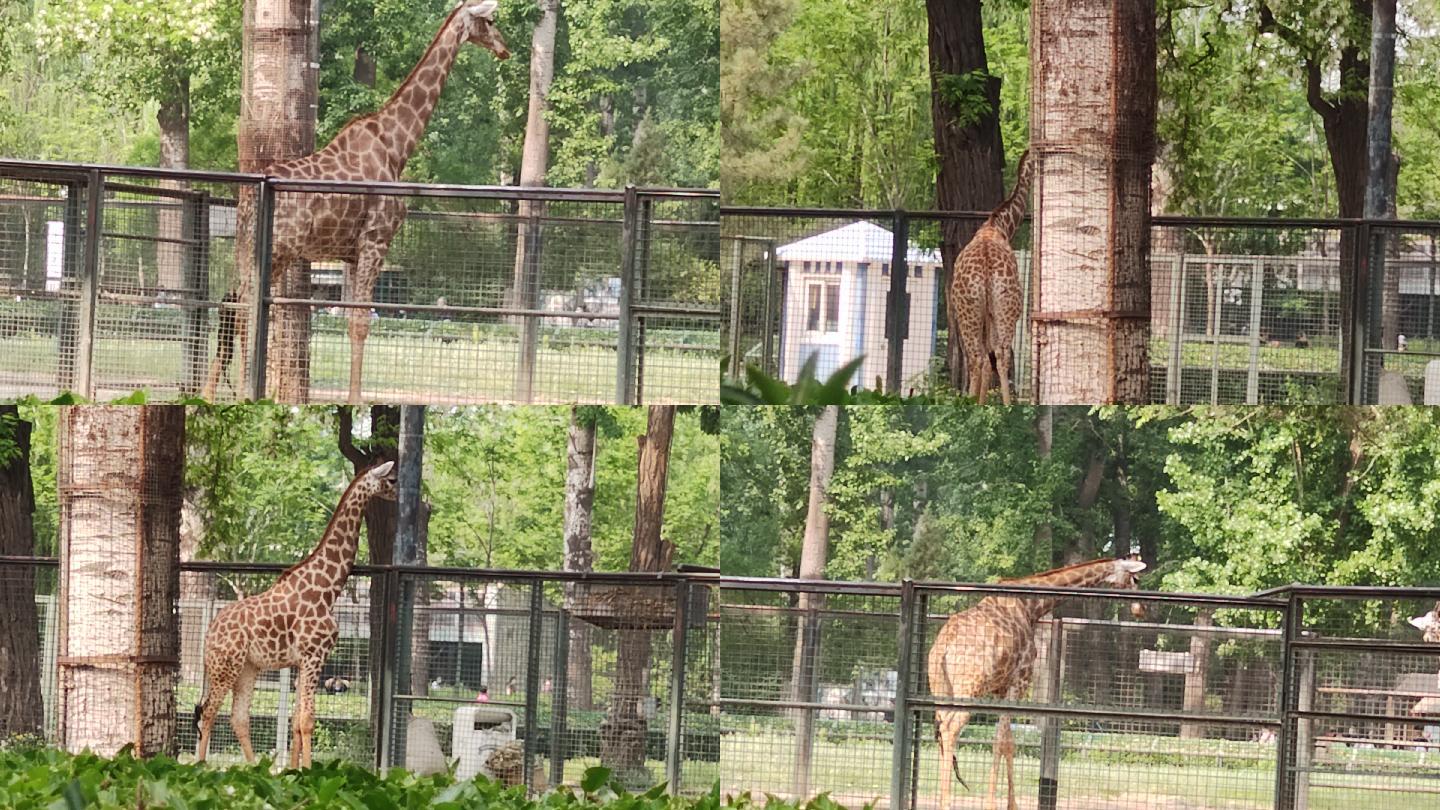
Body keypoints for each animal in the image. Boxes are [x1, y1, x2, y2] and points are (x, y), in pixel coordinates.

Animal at [190, 461, 400, 760]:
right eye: (392, 480)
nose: (399, 498)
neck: (328, 589)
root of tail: (208, 634)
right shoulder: (315, 655)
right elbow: (307, 720)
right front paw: (310, 770)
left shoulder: (303, 660)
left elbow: (296, 721)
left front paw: (294, 769)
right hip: (225, 667)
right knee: (208, 713)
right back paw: (201, 765)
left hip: (247, 668)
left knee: (238, 717)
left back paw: (254, 767)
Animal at [205, 2, 509, 400]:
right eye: (490, 20)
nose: (504, 48)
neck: (397, 145)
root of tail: (245, 208)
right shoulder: (376, 240)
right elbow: (361, 321)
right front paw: (356, 400)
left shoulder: (351, 252)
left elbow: (353, 316)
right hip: (277, 251)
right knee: (242, 311)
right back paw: (240, 393)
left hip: (254, 253)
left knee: (233, 307)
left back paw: (209, 395)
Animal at [933, 550, 1146, 807]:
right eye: (1136, 579)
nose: (1141, 608)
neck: (1031, 606)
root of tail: (943, 648)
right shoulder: (1020, 680)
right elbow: (1004, 742)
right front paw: (1001, 804)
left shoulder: (1001, 688)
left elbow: (1006, 741)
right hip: (969, 689)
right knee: (951, 728)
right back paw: (946, 802)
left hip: (941, 690)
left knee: (941, 729)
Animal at [944, 150, 1036, 403]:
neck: (999, 224)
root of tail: (985, 266)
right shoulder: (990, 313)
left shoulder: (987, 313)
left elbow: (988, 357)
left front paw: (980, 402)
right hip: (998, 308)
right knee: (993, 356)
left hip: (975, 311)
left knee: (983, 357)